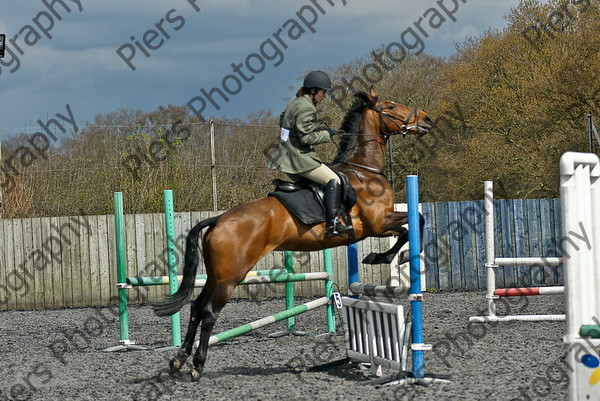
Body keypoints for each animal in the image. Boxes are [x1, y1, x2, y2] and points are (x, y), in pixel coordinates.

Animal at [150, 86, 432, 380]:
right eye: (391, 106)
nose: (427, 119)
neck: (364, 170)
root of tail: (219, 220)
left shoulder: (377, 225)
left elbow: (411, 225)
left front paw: (385, 257)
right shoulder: (377, 224)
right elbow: (414, 223)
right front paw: (389, 258)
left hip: (217, 276)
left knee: (195, 307)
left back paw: (178, 360)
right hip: (230, 278)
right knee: (208, 313)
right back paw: (197, 365)